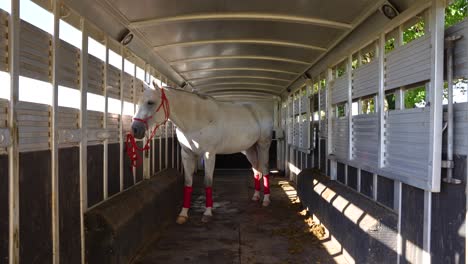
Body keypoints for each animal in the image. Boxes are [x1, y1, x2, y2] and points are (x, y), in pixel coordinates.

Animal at [130, 82, 272, 223]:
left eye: (150, 102)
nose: (135, 129)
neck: (198, 118)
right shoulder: (186, 154)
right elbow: (188, 183)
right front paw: (183, 214)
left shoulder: (209, 154)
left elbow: (207, 182)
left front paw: (207, 213)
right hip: (250, 149)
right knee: (256, 170)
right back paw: (256, 196)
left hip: (263, 146)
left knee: (264, 169)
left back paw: (266, 200)